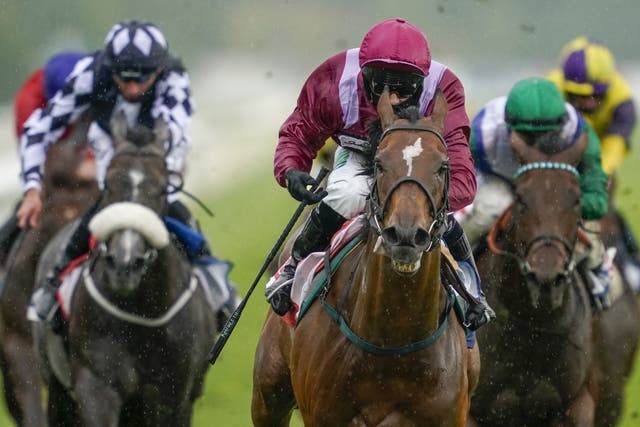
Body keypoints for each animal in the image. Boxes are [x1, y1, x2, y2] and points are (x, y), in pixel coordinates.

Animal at [33, 113, 218, 427]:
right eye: (107, 185)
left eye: (162, 189)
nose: (125, 263)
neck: (141, 313)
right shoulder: (96, 385)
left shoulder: (170, 396)